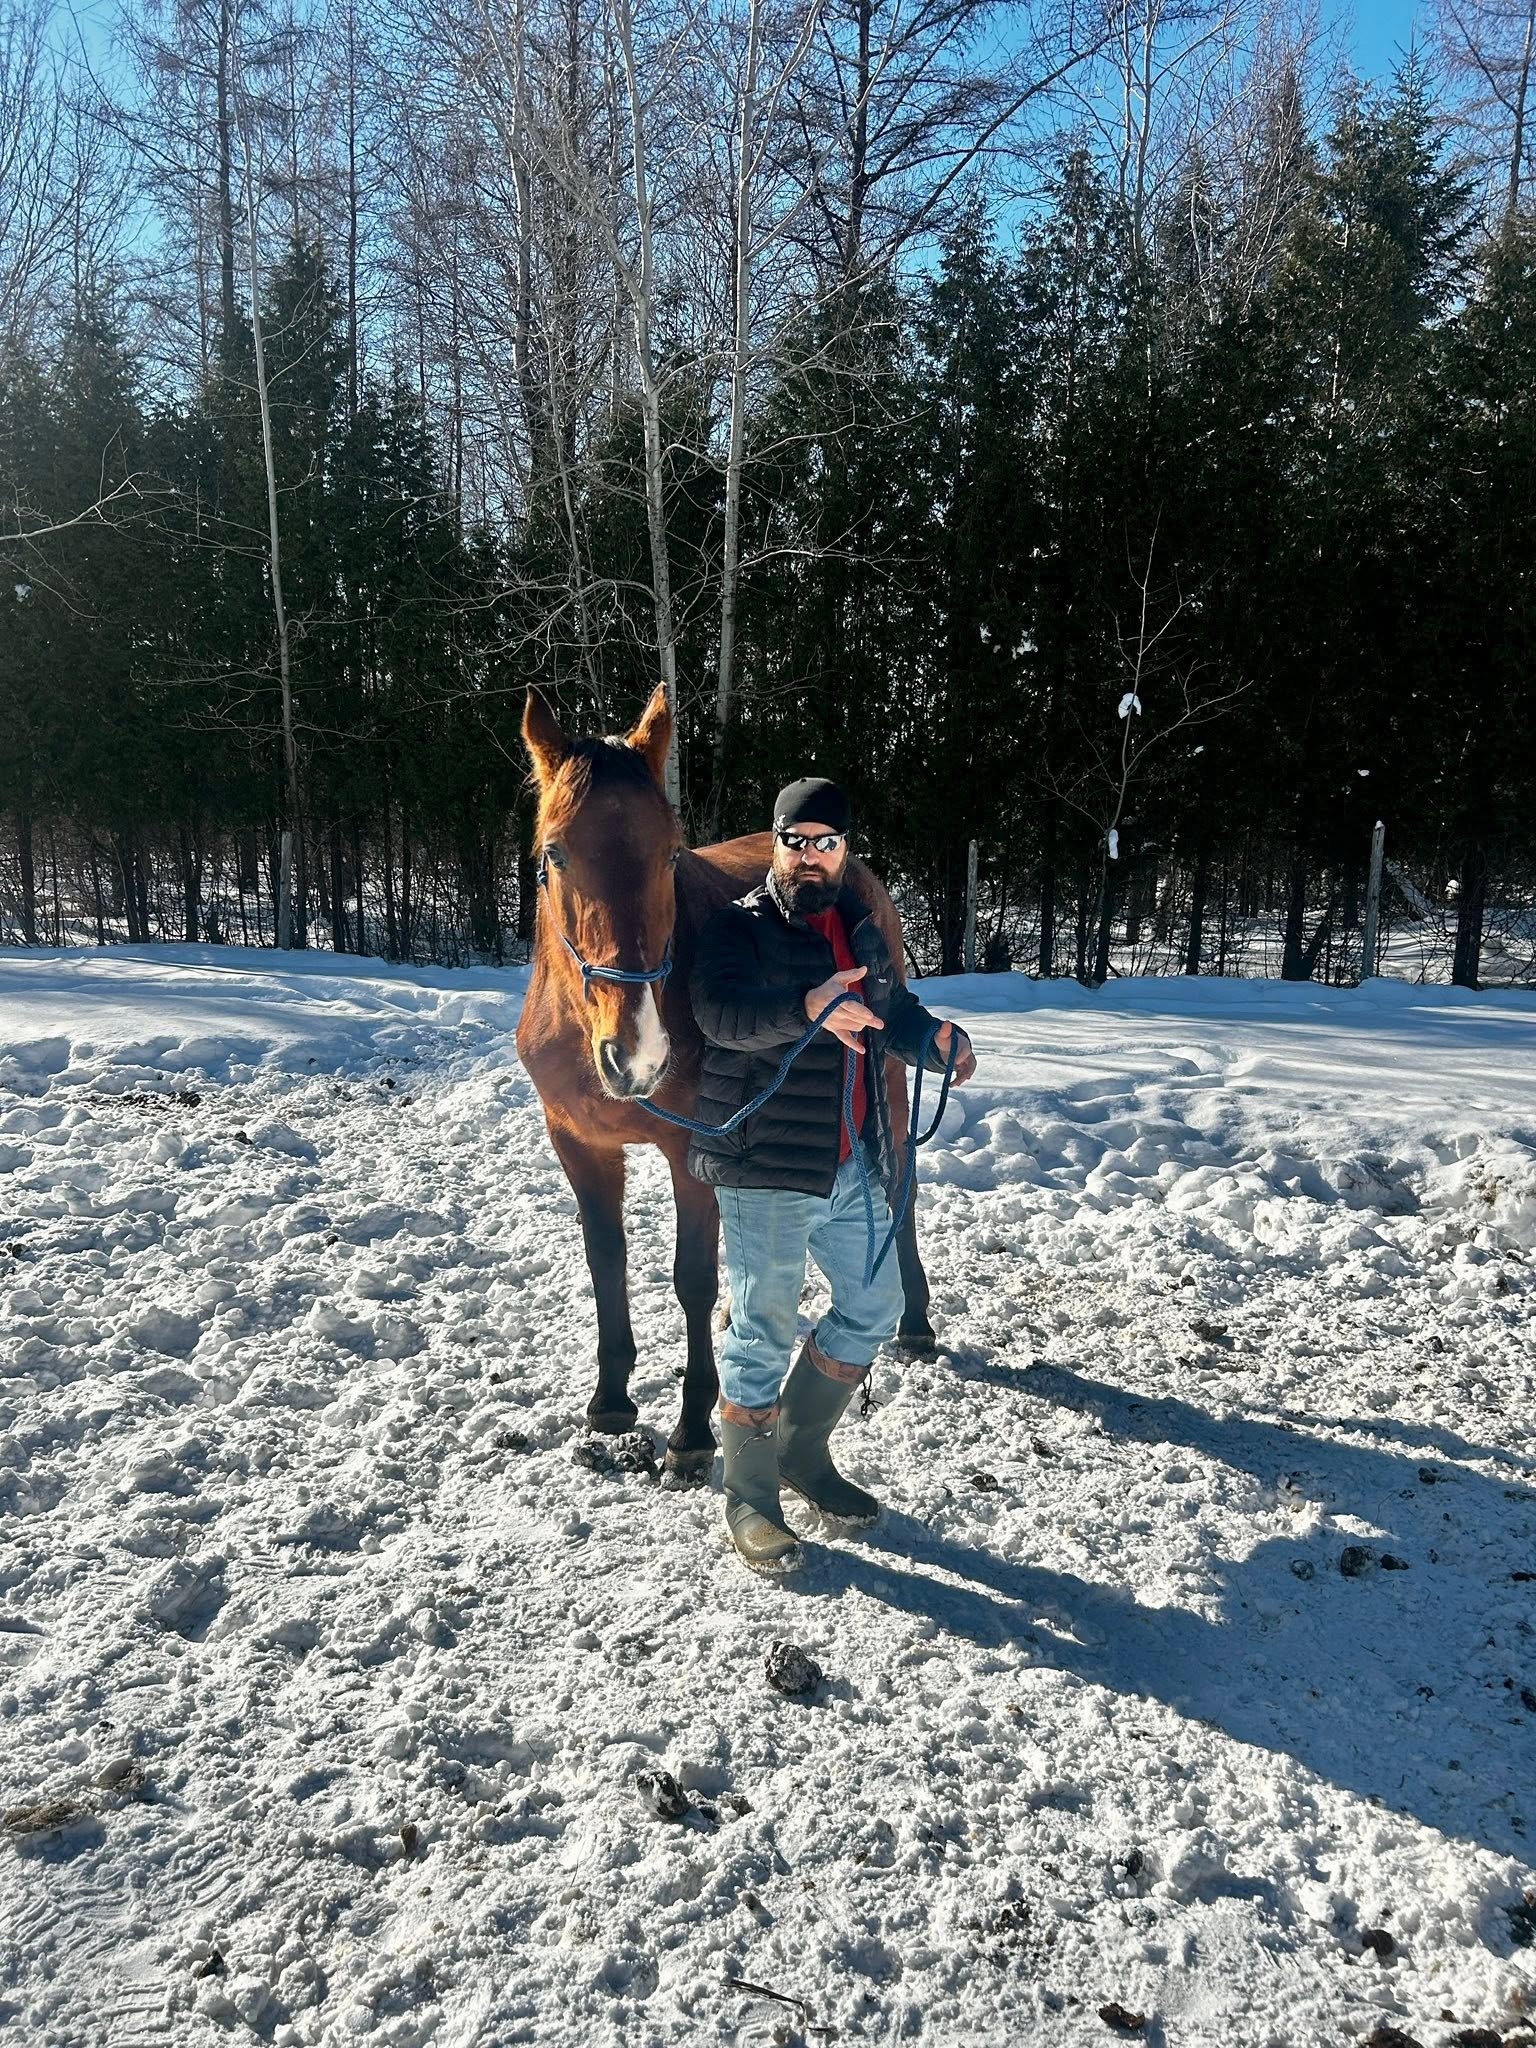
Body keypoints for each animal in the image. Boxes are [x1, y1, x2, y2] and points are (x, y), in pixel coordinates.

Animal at [515, 683, 936, 1479]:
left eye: (668, 854)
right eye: (554, 854)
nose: (638, 1056)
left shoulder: (693, 1154)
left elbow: (692, 1277)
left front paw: (692, 1429)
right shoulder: (578, 1144)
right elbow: (605, 1260)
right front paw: (611, 1400)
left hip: (888, 1081)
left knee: (899, 1183)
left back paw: (919, 1319)